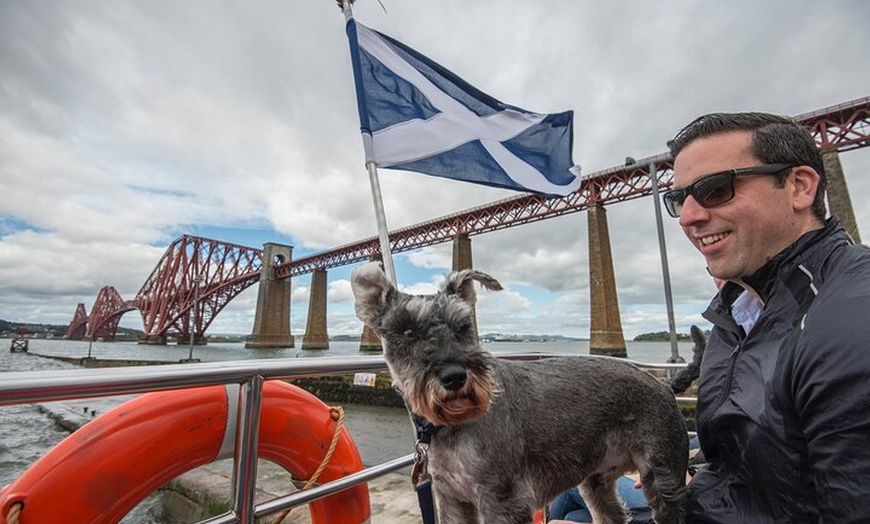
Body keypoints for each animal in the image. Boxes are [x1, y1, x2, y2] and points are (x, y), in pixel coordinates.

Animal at [350, 264, 688, 520]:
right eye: (408, 332)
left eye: (462, 326)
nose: (455, 376)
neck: (451, 425)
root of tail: (662, 384)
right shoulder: (452, 499)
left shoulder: (503, 500)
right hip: (597, 482)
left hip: (665, 480)